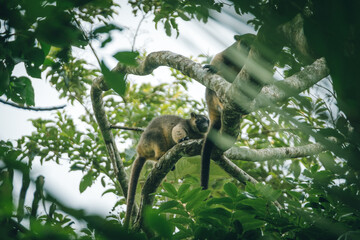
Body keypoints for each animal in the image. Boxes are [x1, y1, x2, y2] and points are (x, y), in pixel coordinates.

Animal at [200, 33, 256, 189]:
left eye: (252, 44)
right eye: (244, 43)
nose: (247, 49)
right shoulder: (232, 51)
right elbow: (220, 57)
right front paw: (213, 67)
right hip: (212, 97)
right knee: (215, 86)